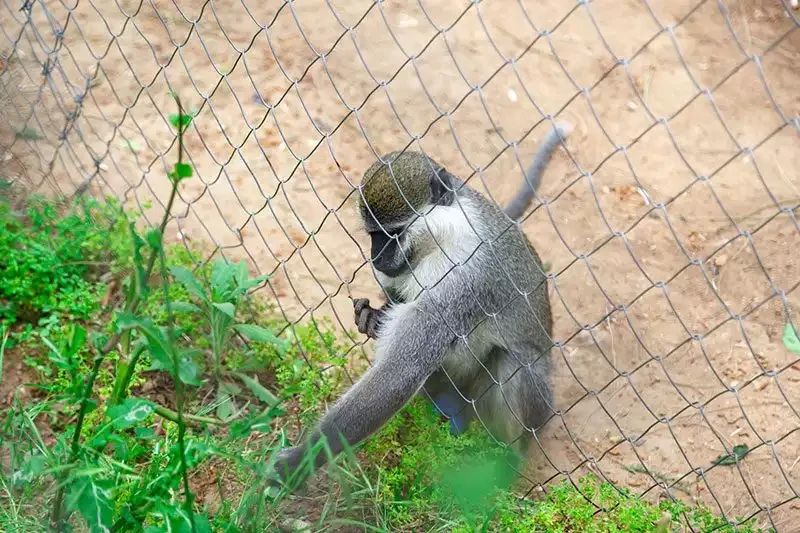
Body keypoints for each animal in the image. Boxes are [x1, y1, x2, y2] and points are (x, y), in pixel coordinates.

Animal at [272, 122, 572, 484]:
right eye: (372, 234)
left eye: (392, 233)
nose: (376, 256)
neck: (442, 238)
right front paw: (372, 318)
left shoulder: (465, 277)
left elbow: (402, 372)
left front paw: (301, 460)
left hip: (531, 406)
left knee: (512, 363)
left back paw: (505, 460)